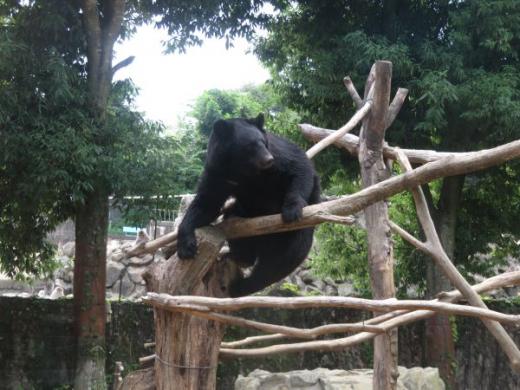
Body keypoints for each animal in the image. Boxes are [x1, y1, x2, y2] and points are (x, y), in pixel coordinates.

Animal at [177, 114, 318, 298]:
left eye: (263, 142)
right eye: (250, 145)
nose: (268, 159)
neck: (244, 169)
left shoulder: (278, 155)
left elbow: (299, 168)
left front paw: (291, 211)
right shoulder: (218, 171)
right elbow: (206, 202)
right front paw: (186, 247)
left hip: (295, 234)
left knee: (283, 259)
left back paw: (241, 285)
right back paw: (240, 258)